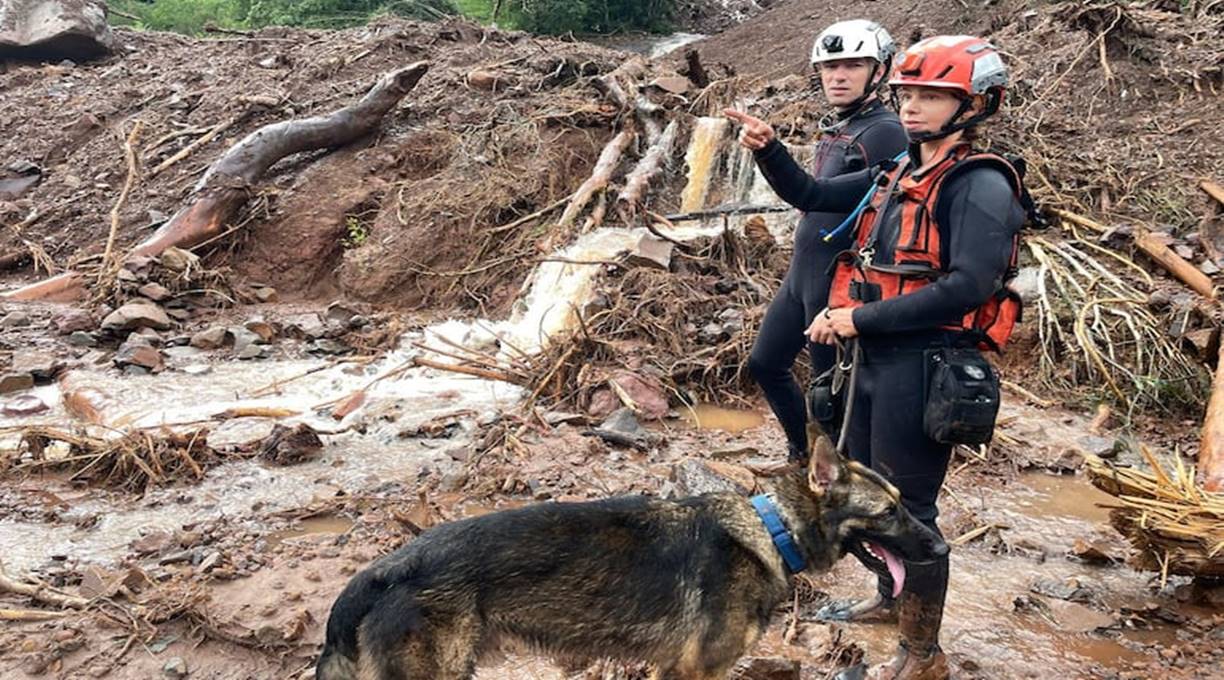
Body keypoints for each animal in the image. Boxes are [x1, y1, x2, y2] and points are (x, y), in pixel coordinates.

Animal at [315, 430, 944, 680]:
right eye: (890, 511)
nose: (942, 547)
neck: (771, 530)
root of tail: (380, 571)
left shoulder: (670, 668)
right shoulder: (698, 670)